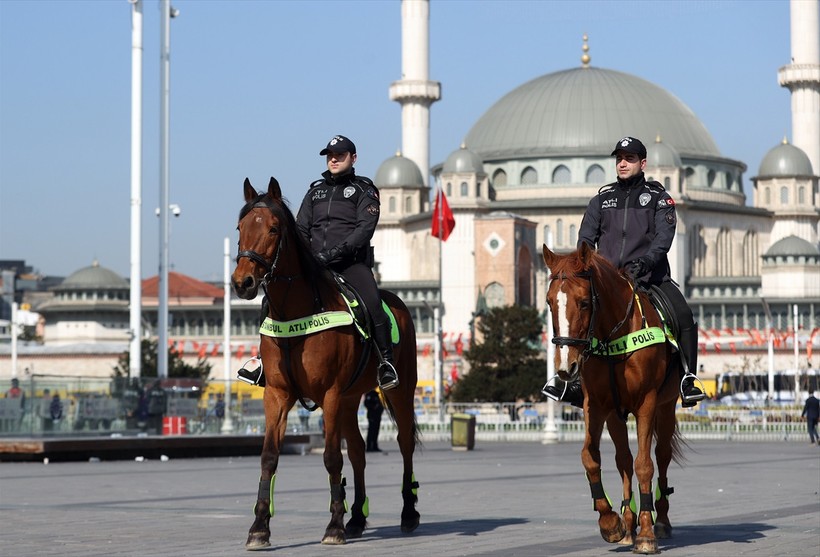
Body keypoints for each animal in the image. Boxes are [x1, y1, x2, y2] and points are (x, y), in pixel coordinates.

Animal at [232, 177, 420, 548]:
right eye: (240, 228)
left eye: (273, 228)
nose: (242, 282)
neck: (298, 315)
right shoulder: (277, 395)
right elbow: (269, 457)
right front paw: (259, 526)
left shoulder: (330, 394)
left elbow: (332, 457)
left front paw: (334, 526)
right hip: (350, 399)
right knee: (359, 451)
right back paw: (357, 517)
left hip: (398, 392)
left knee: (404, 443)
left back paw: (408, 512)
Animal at [544, 244, 684, 556]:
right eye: (549, 303)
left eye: (584, 302)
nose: (566, 366)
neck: (615, 337)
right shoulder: (596, 405)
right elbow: (590, 457)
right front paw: (611, 522)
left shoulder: (646, 403)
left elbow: (645, 465)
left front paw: (646, 534)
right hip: (616, 415)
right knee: (624, 460)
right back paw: (628, 523)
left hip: (666, 407)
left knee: (661, 456)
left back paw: (660, 520)